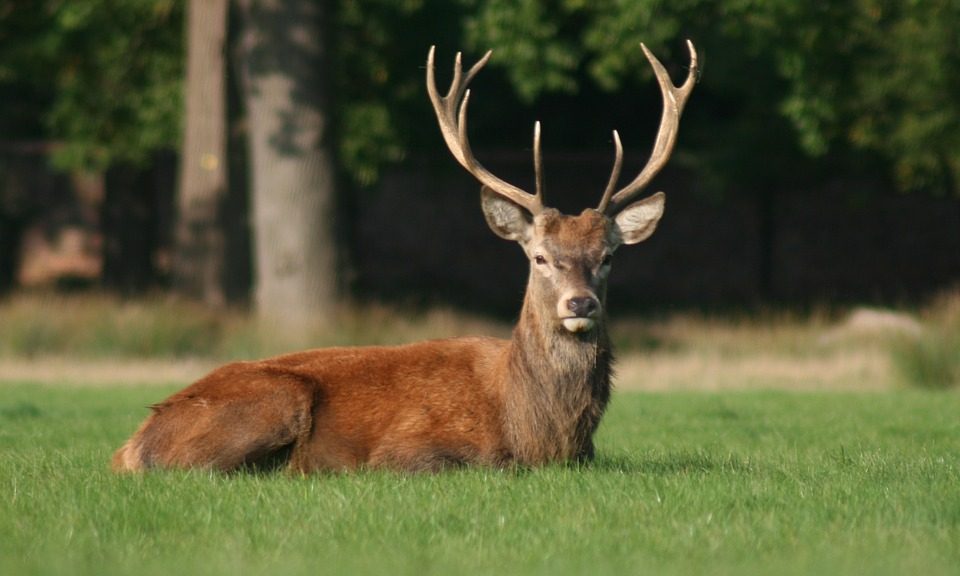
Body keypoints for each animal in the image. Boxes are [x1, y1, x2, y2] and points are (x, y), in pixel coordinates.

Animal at [112, 39, 696, 472]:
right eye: (539, 257)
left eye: (608, 256)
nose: (580, 304)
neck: (537, 432)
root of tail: (131, 445)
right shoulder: (408, 450)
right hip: (273, 400)